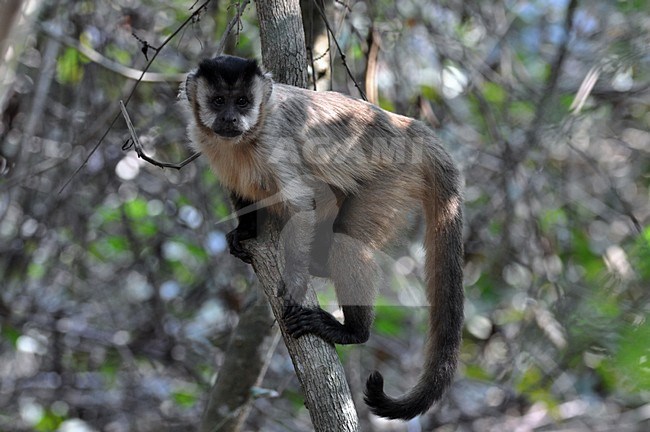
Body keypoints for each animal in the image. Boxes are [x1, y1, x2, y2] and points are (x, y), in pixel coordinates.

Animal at [180, 52, 464, 420]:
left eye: (242, 101)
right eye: (218, 101)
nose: (229, 117)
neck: (248, 136)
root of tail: (408, 126)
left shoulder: (274, 139)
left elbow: (301, 206)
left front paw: (295, 280)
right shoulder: (205, 139)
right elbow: (240, 189)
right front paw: (245, 231)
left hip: (395, 174)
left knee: (346, 240)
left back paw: (352, 331)